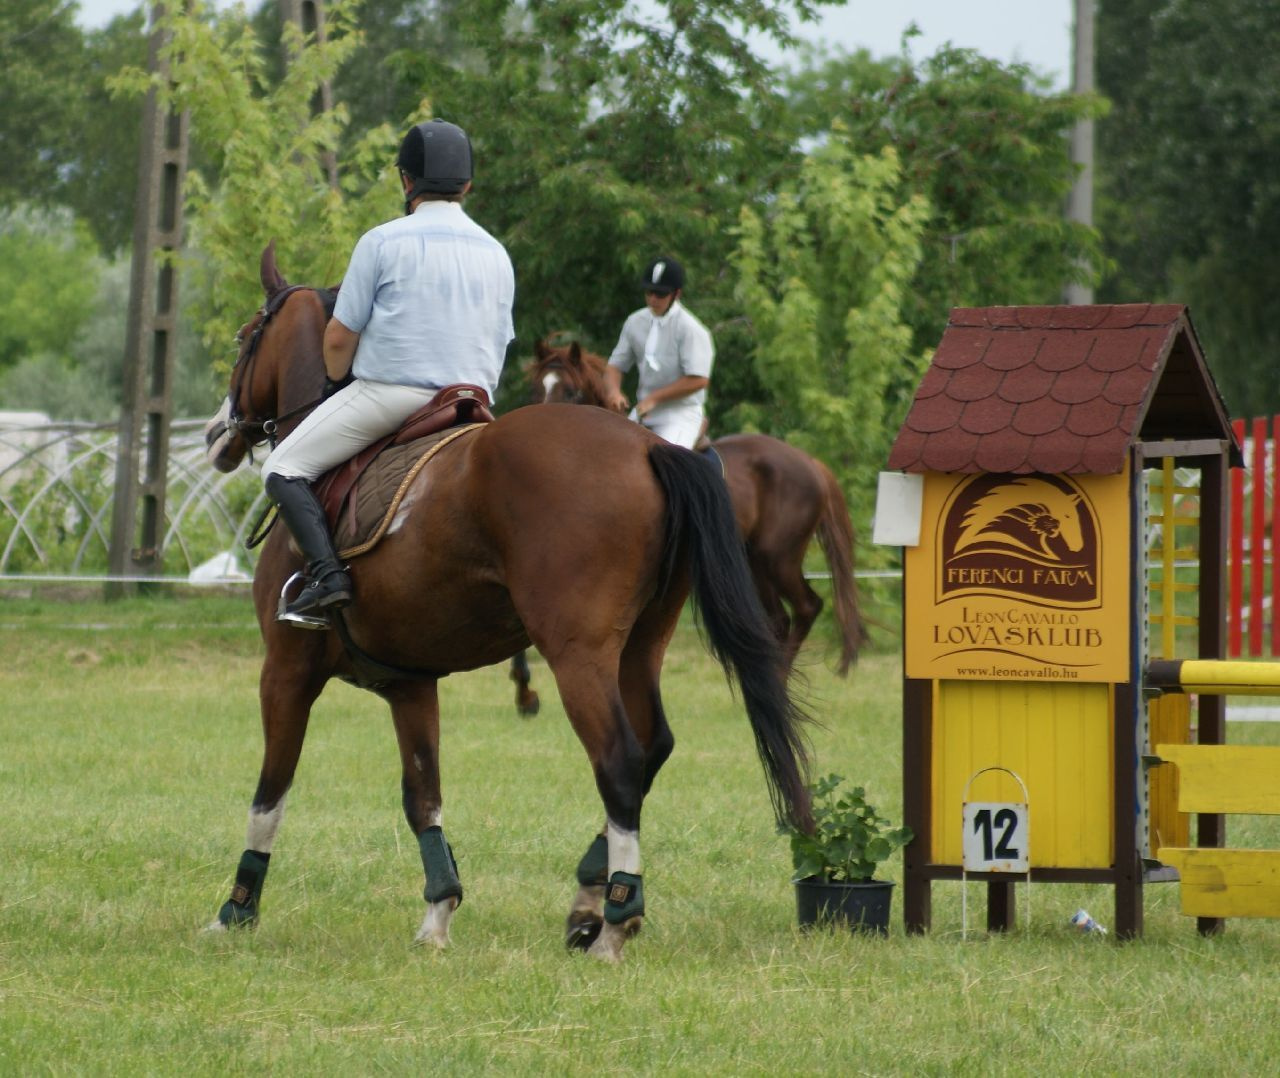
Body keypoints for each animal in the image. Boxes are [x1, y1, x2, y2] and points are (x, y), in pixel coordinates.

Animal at [204, 248, 814, 962]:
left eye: (247, 337)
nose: (218, 436)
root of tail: (648, 446)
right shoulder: (410, 684)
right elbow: (423, 796)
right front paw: (438, 916)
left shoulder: (286, 671)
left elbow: (271, 792)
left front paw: (236, 909)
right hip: (641, 645)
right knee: (653, 745)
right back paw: (587, 902)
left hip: (578, 652)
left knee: (620, 760)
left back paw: (615, 917)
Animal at [522, 335, 870, 670]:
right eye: (538, 387)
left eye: (571, 391)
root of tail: (810, 463)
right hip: (753, 562)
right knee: (779, 620)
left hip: (777, 559)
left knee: (807, 607)